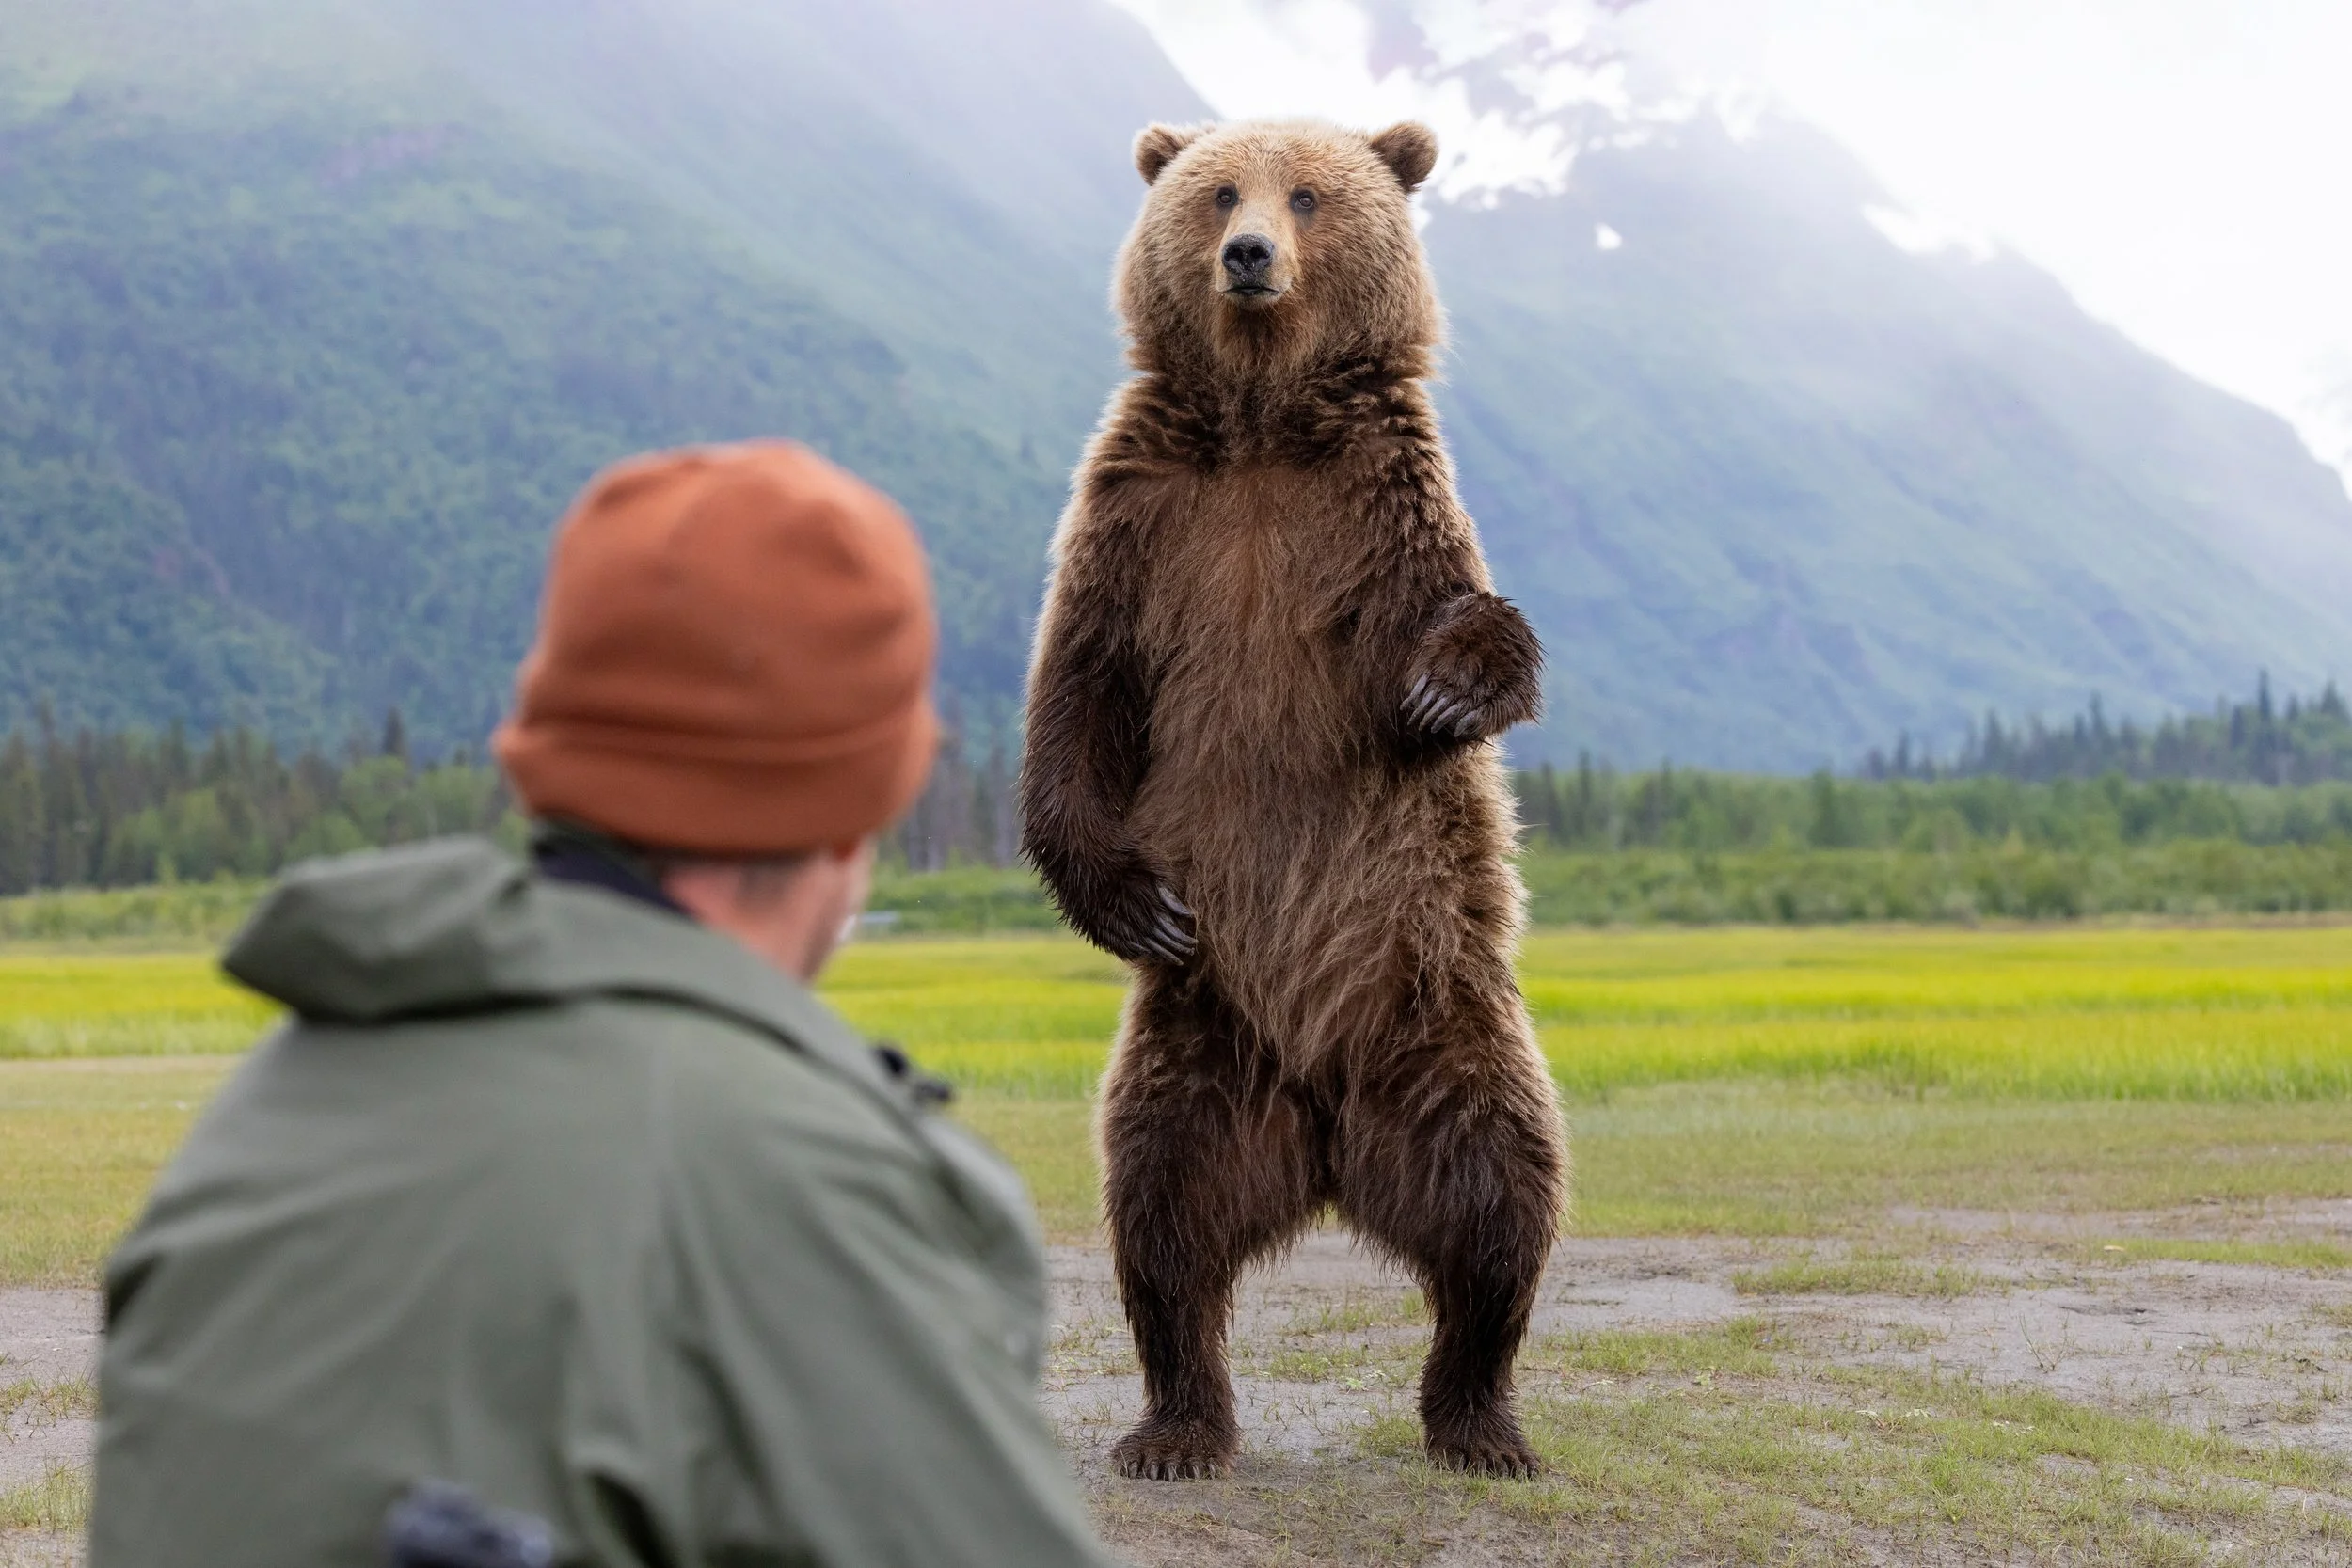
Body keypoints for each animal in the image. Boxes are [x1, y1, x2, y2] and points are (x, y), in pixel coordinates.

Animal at [1018, 118, 1566, 1480]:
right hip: (1198, 1044)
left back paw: (1484, 1421)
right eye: (1219, 191)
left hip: (1443, 1020)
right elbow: (1079, 697)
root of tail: (1323, 1140)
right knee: (1161, 1220)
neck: (1263, 420)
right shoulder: (1145, 517)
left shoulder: (1376, 500)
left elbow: (1464, 619)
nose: (1250, 254)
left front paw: (1442, 689)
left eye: (1309, 194)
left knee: (1502, 1200)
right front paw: (1124, 897)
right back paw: (1174, 1424)